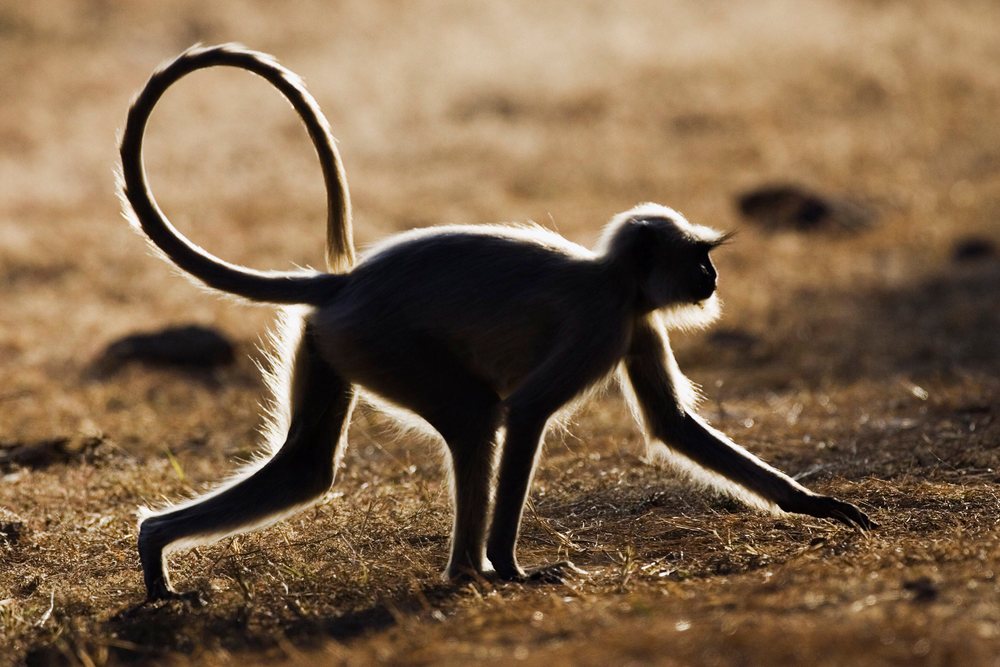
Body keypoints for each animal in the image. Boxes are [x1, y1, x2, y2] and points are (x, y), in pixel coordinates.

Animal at [119, 44, 875, 603]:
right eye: (699, 259)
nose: (712, 279)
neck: (611, 276)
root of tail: (344, 282)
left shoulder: (634, 319)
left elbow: (673, 427)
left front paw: (815, 506)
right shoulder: (604, 319)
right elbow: (530, 409)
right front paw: (512, 566)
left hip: (331, 342)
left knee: (306, 466)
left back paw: (155, 548)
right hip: (379, 340)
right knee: (478, 415)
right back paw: (472, 572)